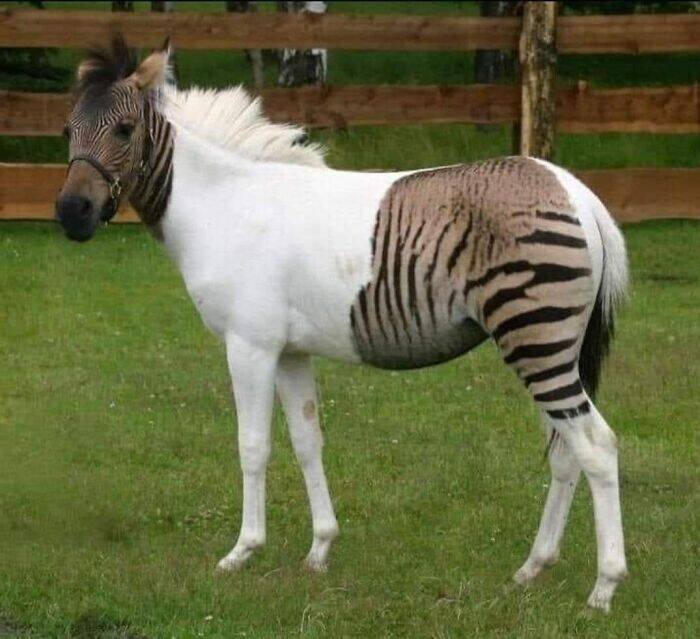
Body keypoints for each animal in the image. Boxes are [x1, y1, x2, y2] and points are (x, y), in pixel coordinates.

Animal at [55, 36, 629, 612]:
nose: (71, 213)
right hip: (553, 344)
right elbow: (307, 441)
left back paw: (604, 587)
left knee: (596, 446)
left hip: (535, 337)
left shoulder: (250, 345)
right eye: (66, 131)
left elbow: (252, 446)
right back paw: (533, 567)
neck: (224, 207)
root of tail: (575, 190)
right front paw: (320, 550)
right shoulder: (290, 351)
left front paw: (242, 552)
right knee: (567, 452)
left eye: (124, 129)